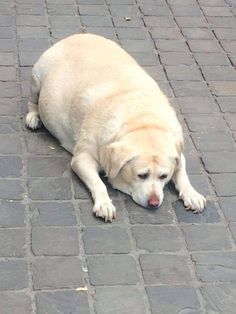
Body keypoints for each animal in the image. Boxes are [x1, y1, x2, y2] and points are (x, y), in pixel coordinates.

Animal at [26, 33, 206, 221]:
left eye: (163, 176)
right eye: (142, 175)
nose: (154, 203)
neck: (141, 118)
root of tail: (76, 35)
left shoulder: (178, 151)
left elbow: (182, 175)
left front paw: (192, 194)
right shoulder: (81, 158)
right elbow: (99, 183)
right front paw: (104, 204)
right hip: (36, 80)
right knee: (32, 102)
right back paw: (33, 117)